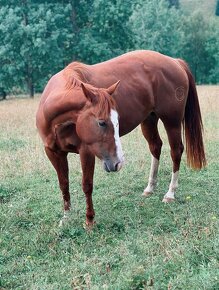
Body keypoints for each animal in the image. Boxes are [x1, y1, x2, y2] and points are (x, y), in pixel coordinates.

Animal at [36, 49, 205, 227]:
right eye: (101, 122)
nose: (117, 163)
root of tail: (175, 61)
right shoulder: (53, 153)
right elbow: (63, 183)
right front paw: (66, 217)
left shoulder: (86, 151)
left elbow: (87, 184)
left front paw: (89, 220)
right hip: (149, 119)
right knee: (155, 147)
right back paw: (150, 188)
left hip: (172, 121)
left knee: (176, 151)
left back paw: (170, 193)